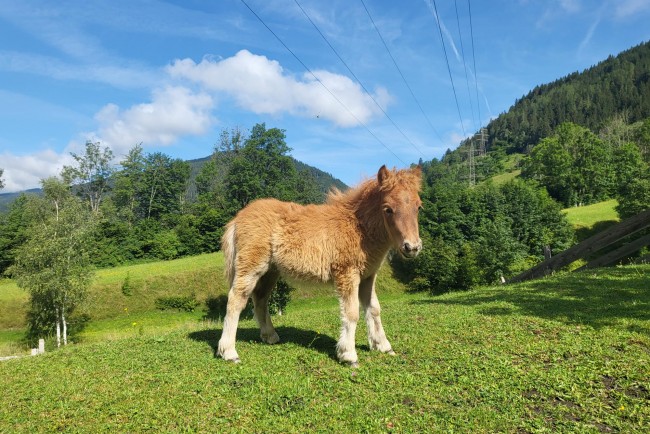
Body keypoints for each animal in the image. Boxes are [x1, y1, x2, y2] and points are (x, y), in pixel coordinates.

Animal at [217, 165, 423, 366]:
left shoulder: (368, 276)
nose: (412, 247)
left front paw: (383, 346)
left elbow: (374, 308)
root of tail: (237, 218)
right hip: (250, 265)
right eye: (387, 209)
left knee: (260, 299)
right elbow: (352, 312)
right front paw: (348, 355)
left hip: (270, 272)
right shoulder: (347, 273)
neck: (358, 228)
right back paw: (229, 352)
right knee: (236, 299)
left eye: (418, 206)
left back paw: (270, 336)